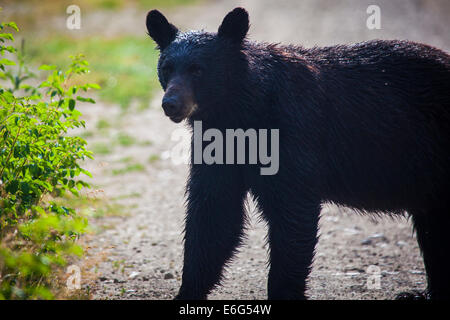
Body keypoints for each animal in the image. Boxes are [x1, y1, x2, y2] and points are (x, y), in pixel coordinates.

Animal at [146, 7, 450, 298]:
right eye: (167, 68)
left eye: (198, 69)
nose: (171, 103)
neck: (242, 113)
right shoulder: (218, 145)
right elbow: (214, 214)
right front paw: (188, 290)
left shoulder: (294, 131)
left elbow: (292, 212)